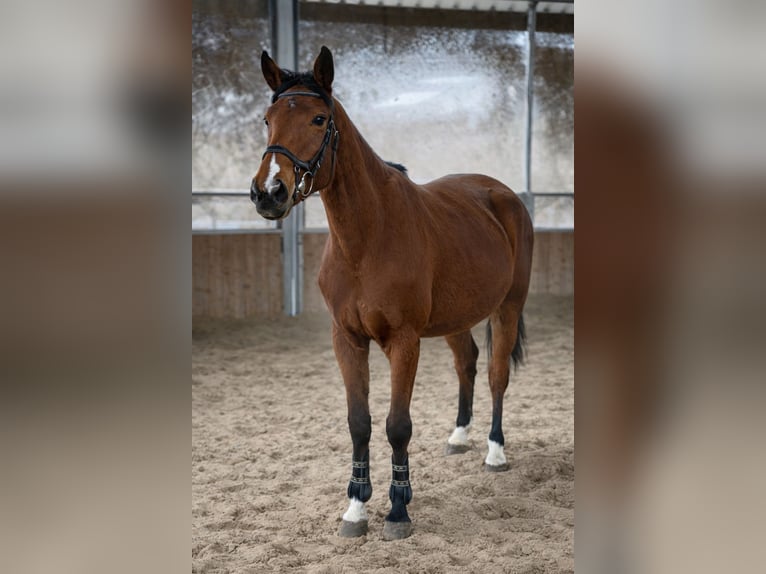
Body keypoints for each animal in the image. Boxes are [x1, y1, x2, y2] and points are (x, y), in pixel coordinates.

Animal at [250, 46, 533, 540]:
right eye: (268, 119)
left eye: (319, 119)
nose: (269, 192)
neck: (367, 238)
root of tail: (504, 196)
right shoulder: (347, 339)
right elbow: (359, 422)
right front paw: (354, 508)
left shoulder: (404, 341)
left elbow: (397, 425)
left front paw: (398, 509)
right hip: (456, 318)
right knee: (467, 362)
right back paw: (459, 436)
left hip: (508, 308)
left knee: (497, 375)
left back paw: (495, 452)